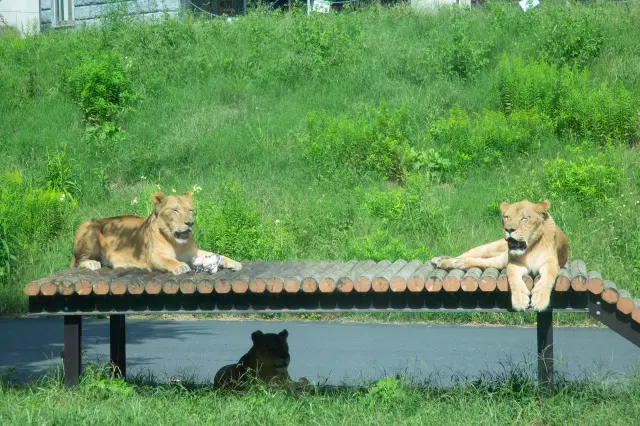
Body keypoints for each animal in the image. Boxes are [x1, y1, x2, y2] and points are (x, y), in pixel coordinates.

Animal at [70, 191, 242, 275]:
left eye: (191, 210)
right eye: (175, 210)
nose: (190, 223)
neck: (177, 243)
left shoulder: (193, 253)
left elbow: (215, 254)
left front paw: (234, 262)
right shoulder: (152, 257)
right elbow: (169, 261)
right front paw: (180, 266)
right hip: (88, 225)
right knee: (77, 262)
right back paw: (92, 263)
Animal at [431, 199, 568, 312]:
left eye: (524, 218)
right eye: (506, 217)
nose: (509, 229)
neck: (530, 248)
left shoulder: (551, 263)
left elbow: (547, 278)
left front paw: (539, 300)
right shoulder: (515, 264)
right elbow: (513, 279)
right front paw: (519, 301)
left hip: (497, 260)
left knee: (469, 260)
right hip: (488, 249)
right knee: (465, 255)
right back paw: (440, 260)